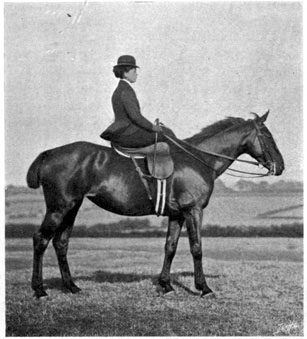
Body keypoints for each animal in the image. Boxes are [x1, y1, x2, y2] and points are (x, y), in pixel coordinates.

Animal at [25, 110, 284, 298]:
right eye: (268, 136)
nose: (280, 167)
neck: (199, 159)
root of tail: (49, 153)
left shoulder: (177, 215)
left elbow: (170, 247)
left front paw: (166, 285)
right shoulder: (193, 211)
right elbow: (196, 248)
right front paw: (204, 288)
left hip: (72, 208)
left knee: (61, 243)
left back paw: (71, 287)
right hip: (59, 208)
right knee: (40, 240)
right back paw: (40, 290)